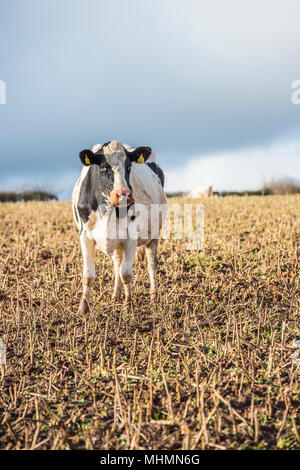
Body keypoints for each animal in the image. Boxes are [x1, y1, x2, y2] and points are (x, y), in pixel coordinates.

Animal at [72, 141, 168, 314]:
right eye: (103, 167)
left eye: (129, 166)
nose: (124, 194)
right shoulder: (85, 236)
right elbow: (88, 275)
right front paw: (83, 308)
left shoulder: (131, 237)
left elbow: (126, 273)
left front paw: (128, 304)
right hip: (117, 243)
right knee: (117, 263)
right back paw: (115, 296)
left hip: (154, 235)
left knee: (151, 265)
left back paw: (153, 297)